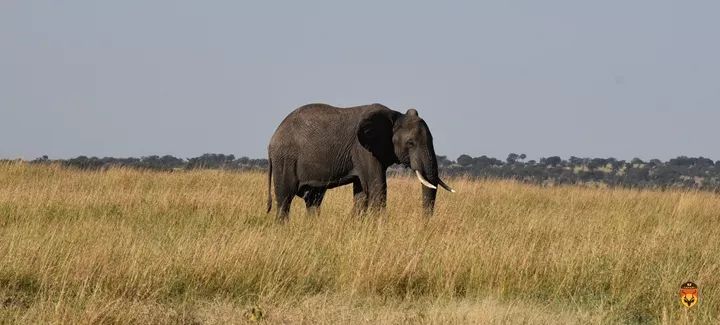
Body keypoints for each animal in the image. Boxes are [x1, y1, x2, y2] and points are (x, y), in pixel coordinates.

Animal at [268, 104, 452, 220]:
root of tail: (272, 139)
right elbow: (377, 188)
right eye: (411, 143)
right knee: (284, 199)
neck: (395, 116)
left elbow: (361, 194)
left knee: (313, 200)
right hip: (285, 160)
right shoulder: (363, 150)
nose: (424, 224)